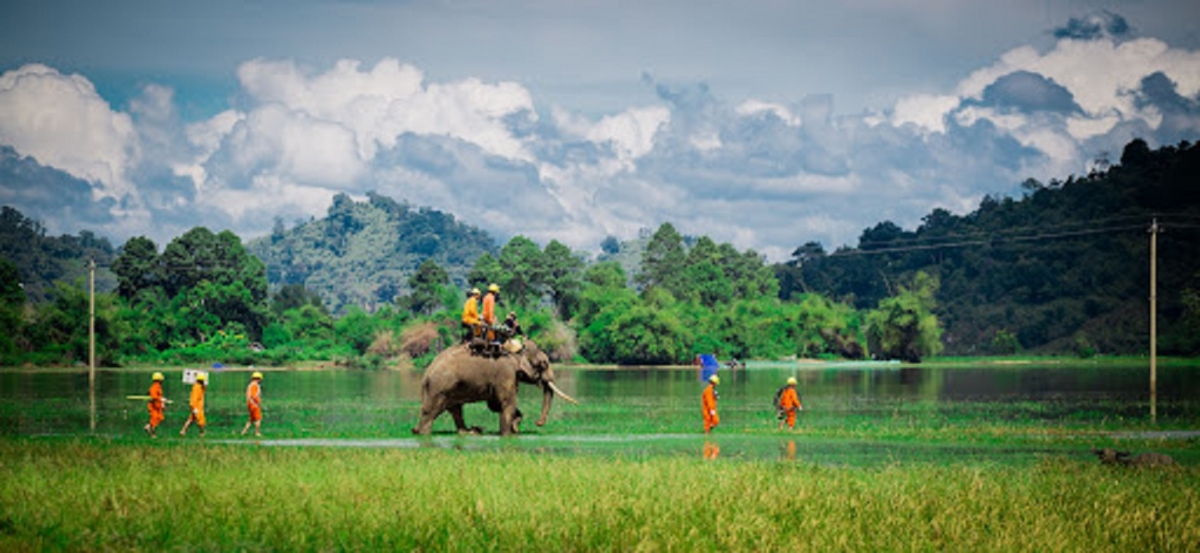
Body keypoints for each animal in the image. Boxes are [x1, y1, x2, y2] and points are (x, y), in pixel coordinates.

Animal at [412, 335, 576, 434]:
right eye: (543, 364)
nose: (537, 422)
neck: (515, 351)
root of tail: (425, 374)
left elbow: (495, 405)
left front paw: (515, 425)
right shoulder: (506, 373)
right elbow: (507, 402)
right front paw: (508, 433)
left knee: (455, 409)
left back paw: (470, 432)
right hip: (439, 387)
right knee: (432, 411)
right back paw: (423, 432)